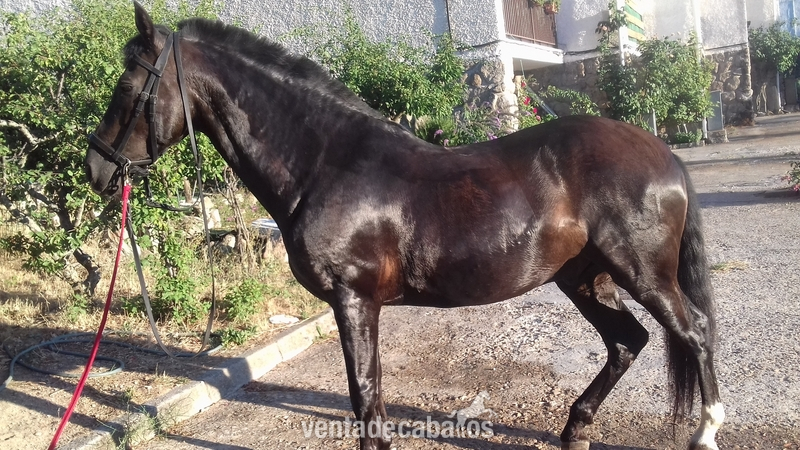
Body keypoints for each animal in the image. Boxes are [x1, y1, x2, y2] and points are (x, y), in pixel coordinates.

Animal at [84, 4, 724, 449]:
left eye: (127, 86)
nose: (96, 168)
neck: (325, 162)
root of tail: (664, 154)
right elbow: (370, 399)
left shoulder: (354, 300)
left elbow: (366, 399)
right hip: (584, 277)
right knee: (628, 341)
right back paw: (575, 430)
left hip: (640, 273)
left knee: (692, 332)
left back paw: (706, 430)